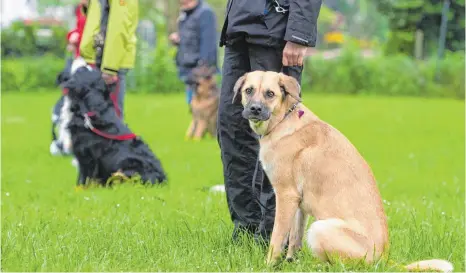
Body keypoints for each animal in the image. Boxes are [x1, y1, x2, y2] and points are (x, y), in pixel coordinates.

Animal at [235, 71, 454, 270]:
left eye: (270, 93)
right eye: (249, 90)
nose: (255, 109)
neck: (283, 120)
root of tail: (383, 261)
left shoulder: (286, 195)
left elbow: (277, 238)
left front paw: (269, 265)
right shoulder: (298, 203)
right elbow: (294, 238)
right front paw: (290, 262)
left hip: (320, 229)